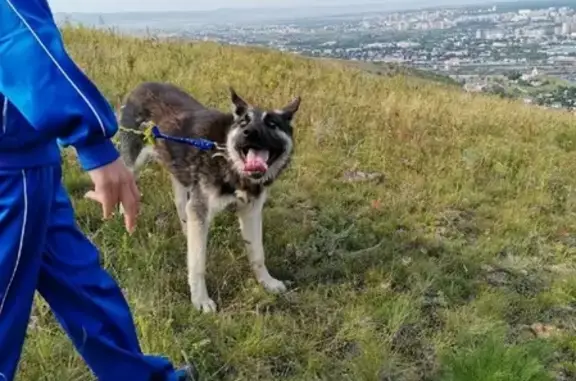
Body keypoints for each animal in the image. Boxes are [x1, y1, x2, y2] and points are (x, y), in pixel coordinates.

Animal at [117, 81, 302, 310]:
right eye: (244, 122)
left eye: (272, 124)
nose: (249, 132)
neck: (228, 158)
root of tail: (141, 86)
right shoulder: (201, 208)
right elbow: (198, 264)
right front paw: (200, 300)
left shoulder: (251, 212)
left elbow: (257, 253)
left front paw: (267, 282)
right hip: (134, 164)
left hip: (181, 178)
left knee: (182, 207)